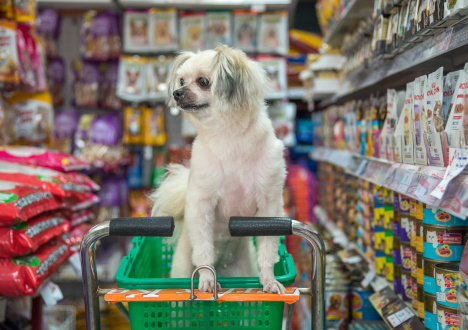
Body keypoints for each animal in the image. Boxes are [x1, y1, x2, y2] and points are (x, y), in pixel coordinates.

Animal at [152, 44, 288, 294]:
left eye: (203, 81)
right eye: (181, 80)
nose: (177, 92)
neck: (229, 138)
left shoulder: (269, 206)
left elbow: (267, 249)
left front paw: (269, 280)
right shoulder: (201, 205)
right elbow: (204, 249)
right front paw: (206, 279)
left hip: (242, 269)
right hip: (182, 267)